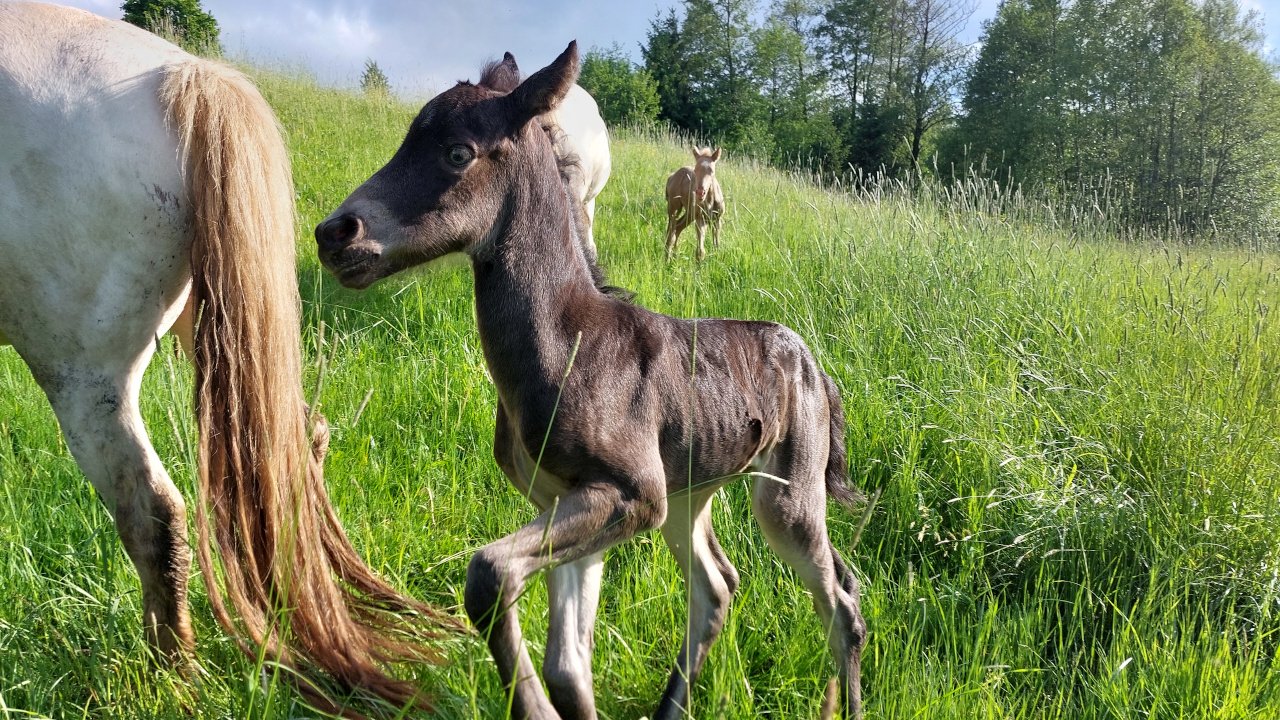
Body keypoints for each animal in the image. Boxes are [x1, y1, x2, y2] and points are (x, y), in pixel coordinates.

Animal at [313, 44, 865, 717]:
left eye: (457, 153)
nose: (335, 233)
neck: (568, 340)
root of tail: (813, 362)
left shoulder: (632, 494)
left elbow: (489, 574)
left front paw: (531, 706)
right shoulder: (568, 499)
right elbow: (569, 665)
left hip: (785, 495)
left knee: (841, 602)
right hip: (690, 494)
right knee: (717, 587)